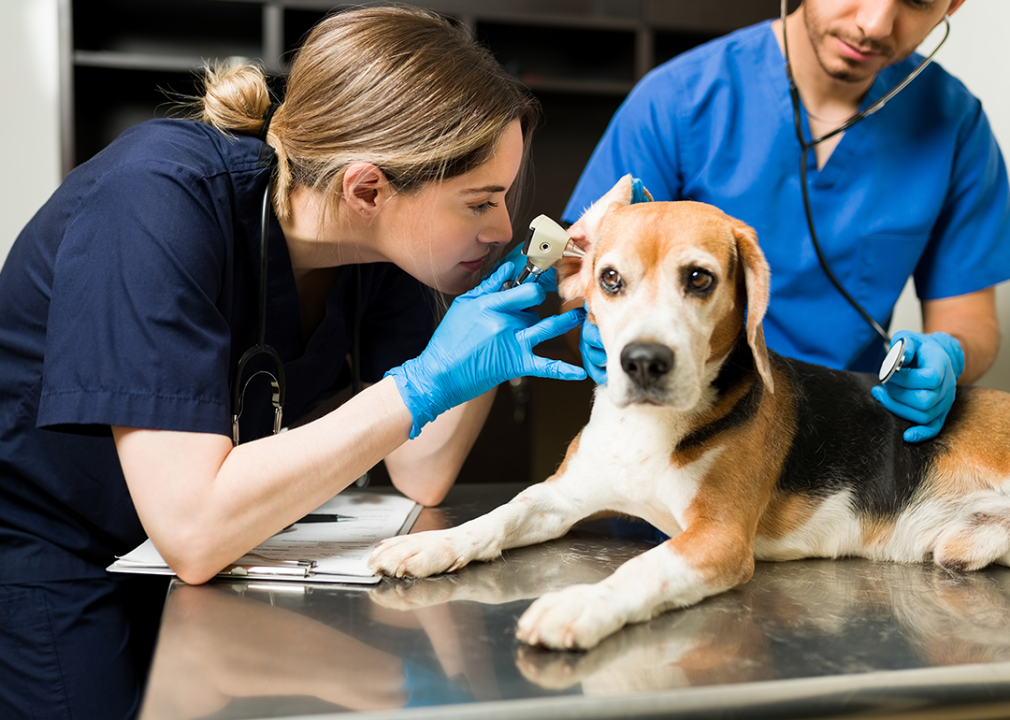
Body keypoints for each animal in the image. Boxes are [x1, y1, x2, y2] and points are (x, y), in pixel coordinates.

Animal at [367, 175, 1010, 650]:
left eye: (699, 278)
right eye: (610, 278)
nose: (643, 361)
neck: (646, 430)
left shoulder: (716, 539)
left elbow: (640, 570)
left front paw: (582, 604)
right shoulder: (562, 496)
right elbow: (503, 513)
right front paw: (432, 544)